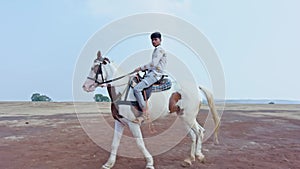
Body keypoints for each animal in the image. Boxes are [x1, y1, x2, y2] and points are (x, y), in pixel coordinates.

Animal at [82, 54, 220, 168]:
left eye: (95, 68)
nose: (85, 86)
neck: (122, 92)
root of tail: (196, 87)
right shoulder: (119, 122)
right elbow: (114, 144)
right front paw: (108, 164)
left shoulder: (133, 123)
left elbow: (140, 143)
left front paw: (149, 163)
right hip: (184, 117)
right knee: (194, 134)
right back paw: (189, 159)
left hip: (188, 117)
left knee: (199, 132)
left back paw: (199, 156)